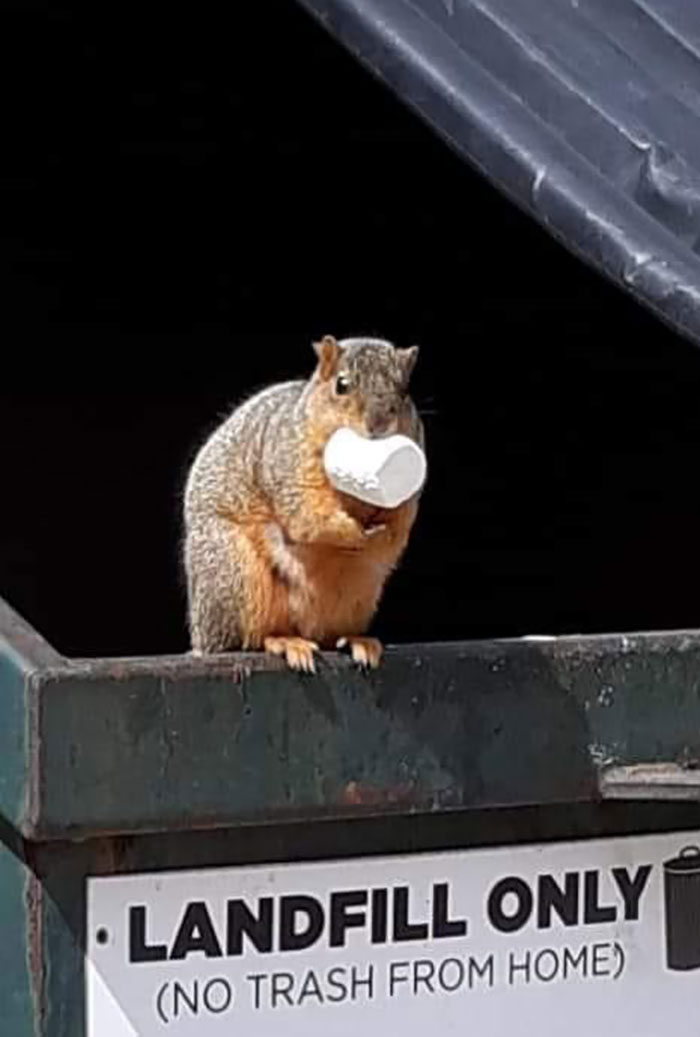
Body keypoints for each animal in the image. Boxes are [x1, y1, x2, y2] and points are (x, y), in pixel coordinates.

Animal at [183, 335, 424, 672]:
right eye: (341, 385)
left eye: (404, 390)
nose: (378, 424)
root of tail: (202, 640)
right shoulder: (291, 466)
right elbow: (308, 517)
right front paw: (354, 533)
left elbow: (402, 519)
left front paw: (387, 533)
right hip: (237, 575)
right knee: (249, 638)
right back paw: (285, 641)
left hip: (359, 591)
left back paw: (358, 641)